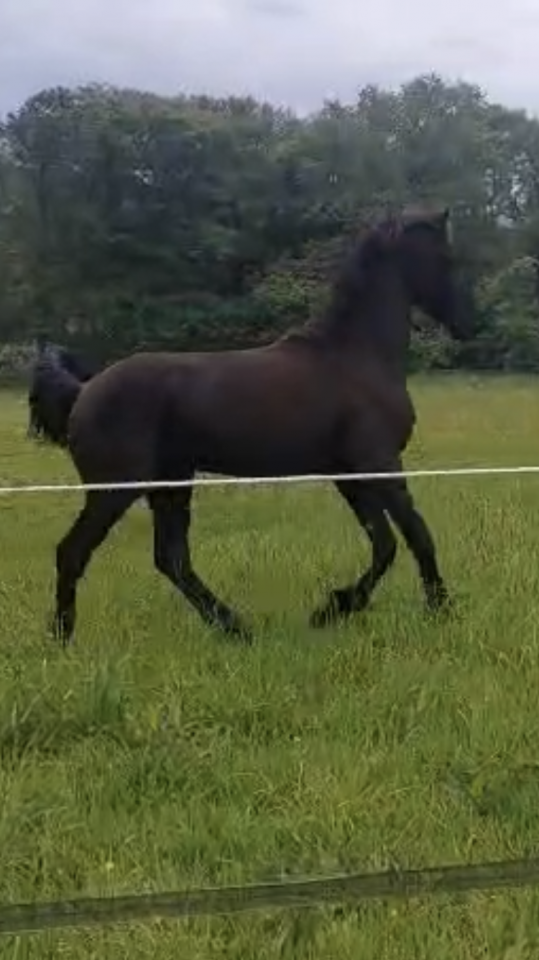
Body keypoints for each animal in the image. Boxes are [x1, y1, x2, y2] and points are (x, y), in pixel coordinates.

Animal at [31, 207, 475, 646]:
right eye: (445, 258)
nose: (467, 323)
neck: (353, 355)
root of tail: (84, 390)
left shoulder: (351, 475)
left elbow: (384, 544)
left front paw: (332, 608)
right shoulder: (379, 464)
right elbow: (417, 534)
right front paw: (440, 610)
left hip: (170, 484)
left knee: (171, 559)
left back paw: (234, 627)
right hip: (116, 489)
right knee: (73, 551)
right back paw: (64, 637)